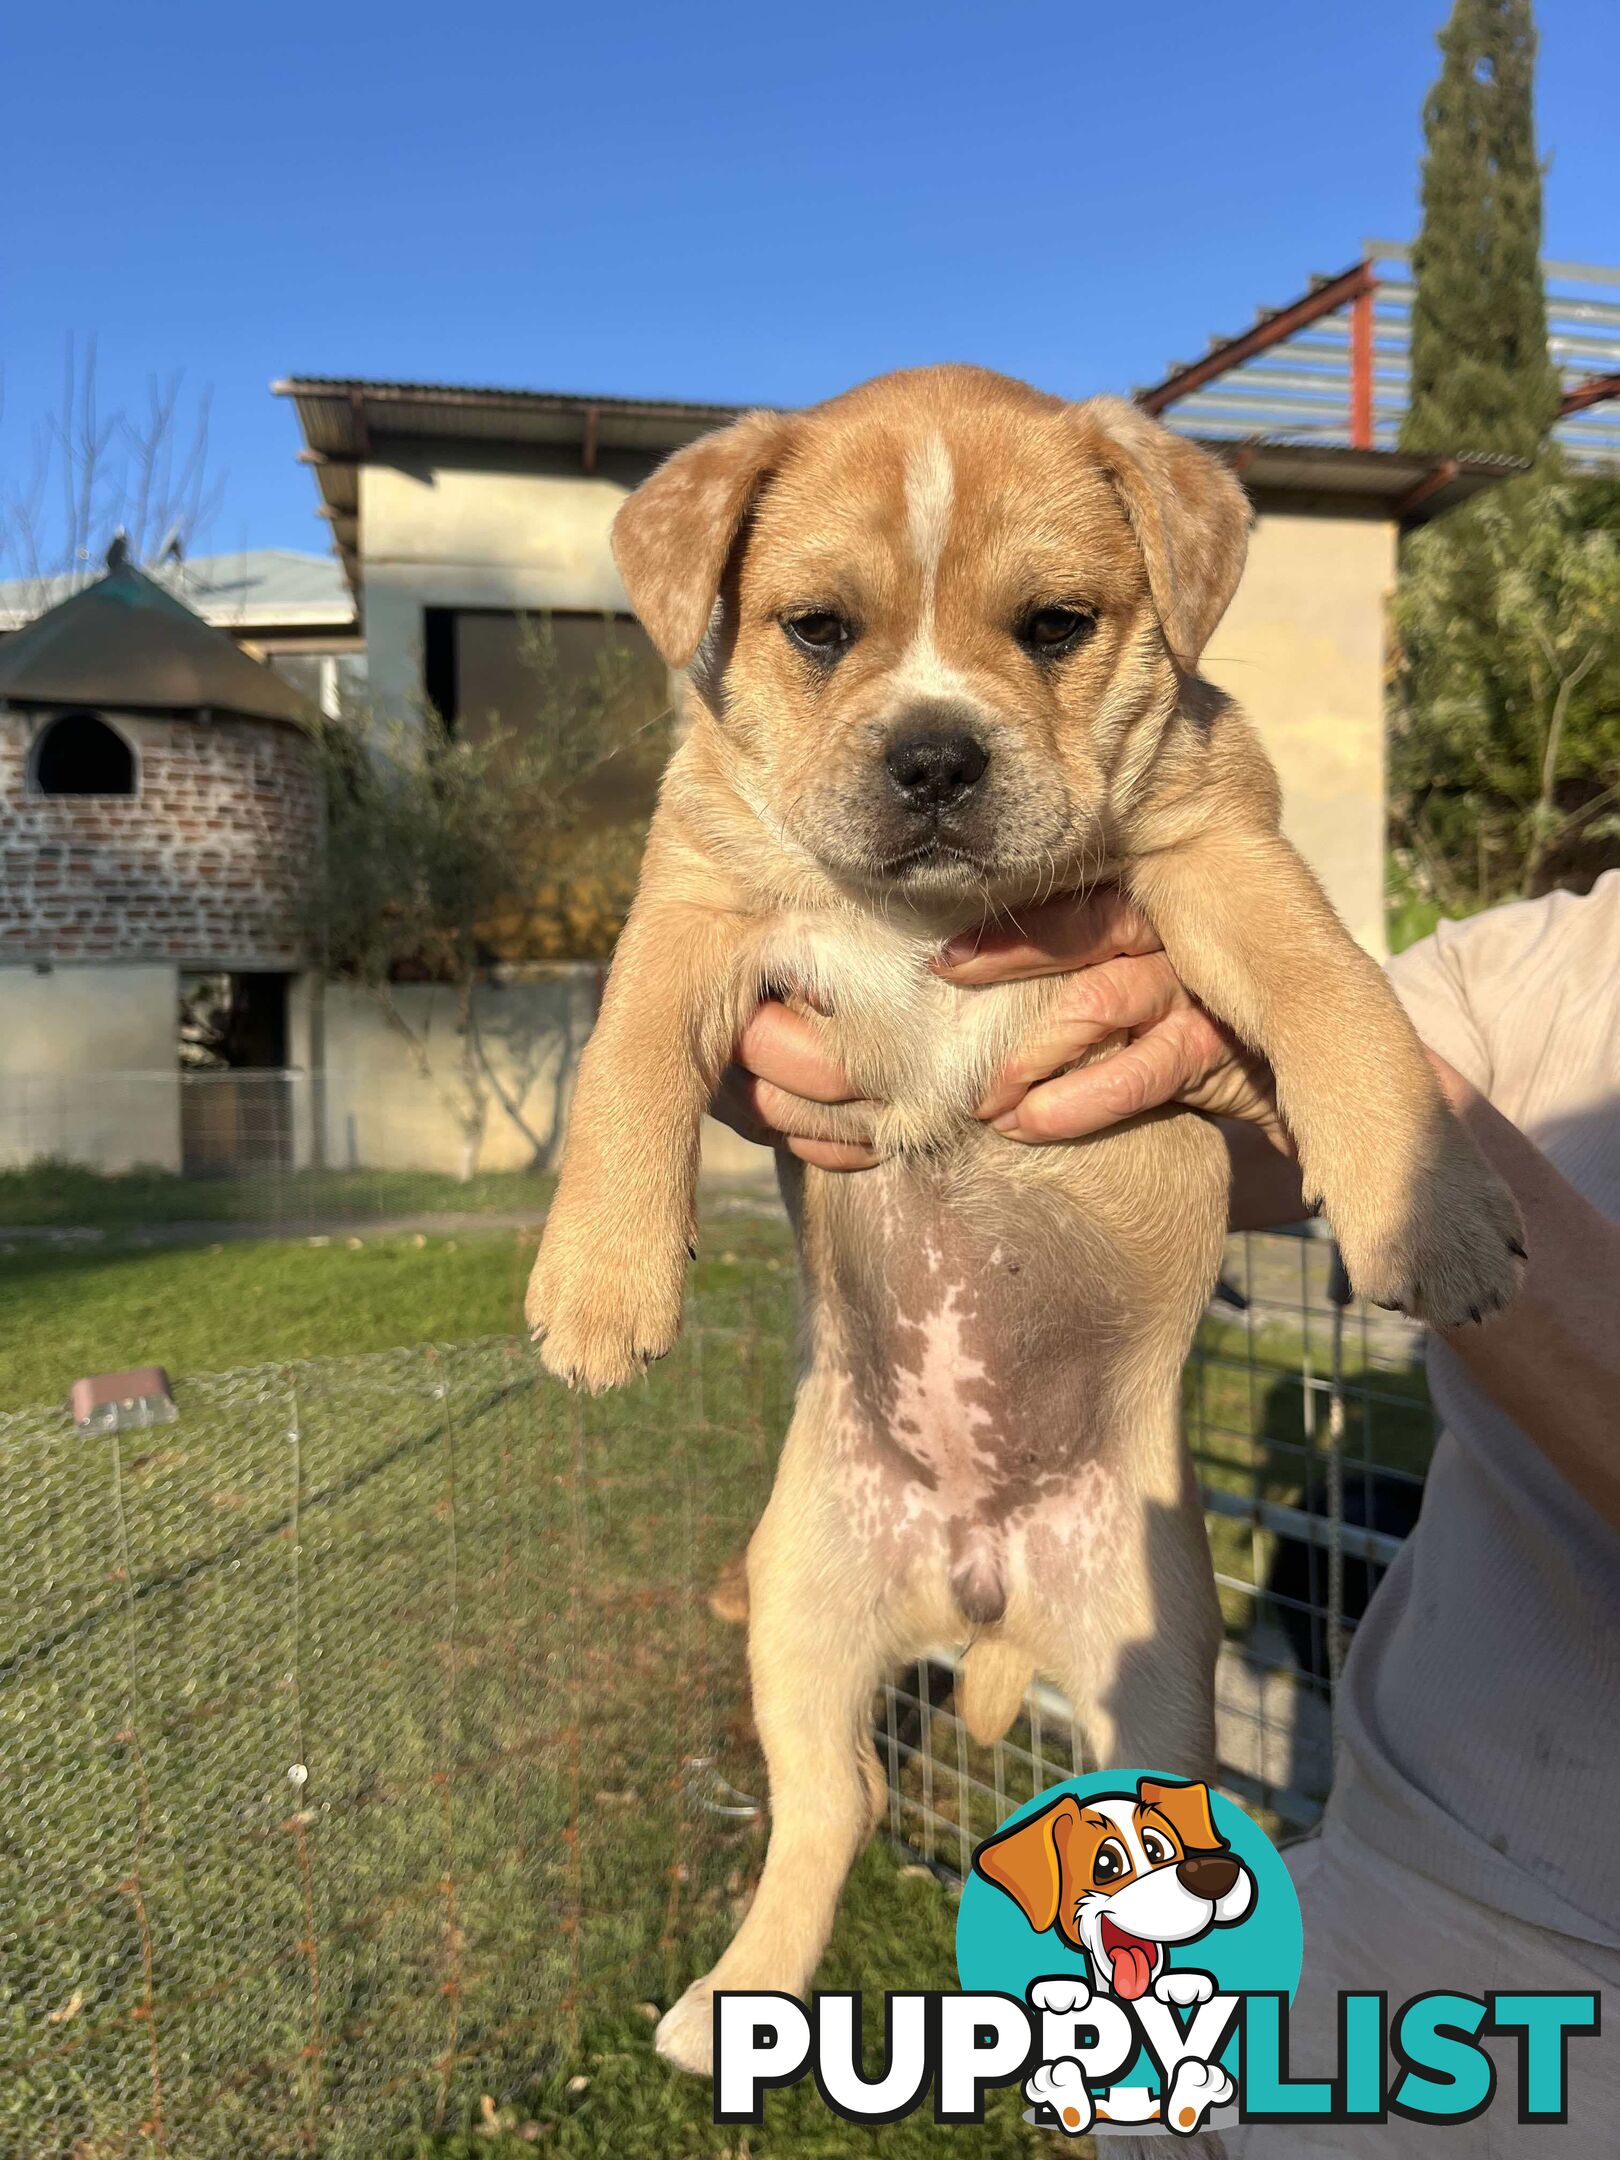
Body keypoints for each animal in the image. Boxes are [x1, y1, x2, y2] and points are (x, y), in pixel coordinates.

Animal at [527, 367, 1529, 2073]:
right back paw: (736, 1999)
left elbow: (1342, 1004)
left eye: (1056, 627)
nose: (934, 755)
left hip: (1150, 1669)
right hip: (800, 1603)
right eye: (816, 631)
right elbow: (624, 1067)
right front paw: (600, 1289)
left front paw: (1438, 1210)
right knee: (840, 1796)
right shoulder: (694, 910)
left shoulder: (1224, 858)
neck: (926, 920)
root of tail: (977, 1582)